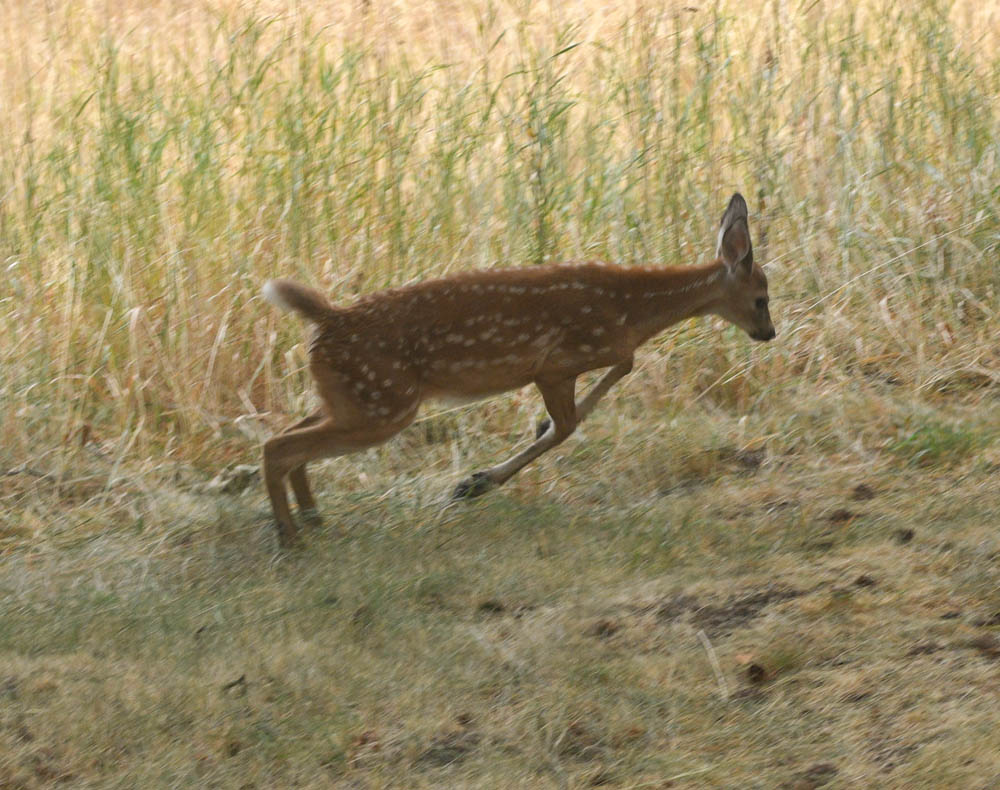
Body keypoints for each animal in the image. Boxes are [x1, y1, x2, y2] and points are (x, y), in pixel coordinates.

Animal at [261, 193, 774, 546]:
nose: (769, 333)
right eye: (761, 298)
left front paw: (482, 475)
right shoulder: (556, 362)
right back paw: (291, 537)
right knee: (278, 445)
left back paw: (313, 520)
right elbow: (576, 416)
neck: (631, 308)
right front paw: (474, 483)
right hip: (384, 404)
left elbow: (614, 375)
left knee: (291, 436)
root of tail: (327, 318)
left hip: (351, 396)